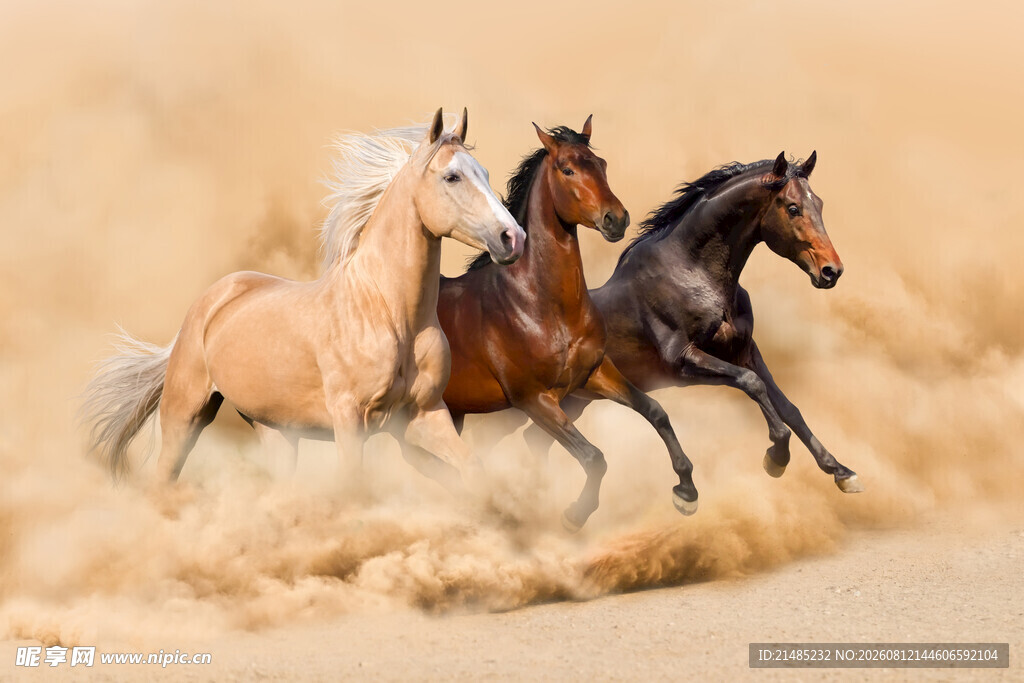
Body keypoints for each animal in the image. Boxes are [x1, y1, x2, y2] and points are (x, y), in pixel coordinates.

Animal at [82, 108, 526, 487]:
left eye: (485, 172)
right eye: (452, 177)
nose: (513, 237)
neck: (389, 314)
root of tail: (210, 302)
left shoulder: (425, 416)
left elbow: (472, 468)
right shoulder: (350, 420)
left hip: (277, 431)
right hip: (185, 415)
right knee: (164, 477)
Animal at [406, 117, 698, 532]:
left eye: (601, 164)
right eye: (567, 169)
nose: (616, 218)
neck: (541, 306)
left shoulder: (593, 374)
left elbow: (655, 411)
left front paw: (686, 492)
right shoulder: (534, 399)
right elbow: (593, 457)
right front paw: (574, 514)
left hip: (454, 413)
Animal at [520, 151, 863, 499]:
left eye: (819, 204)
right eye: (793, 208)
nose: (832, 271)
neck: (693, 274)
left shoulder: (744, 350)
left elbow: (788, 406)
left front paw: (841, 472)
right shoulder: (684, 361)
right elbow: (752, 384)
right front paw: (776, 457)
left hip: (574, 400)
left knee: (536, 440)